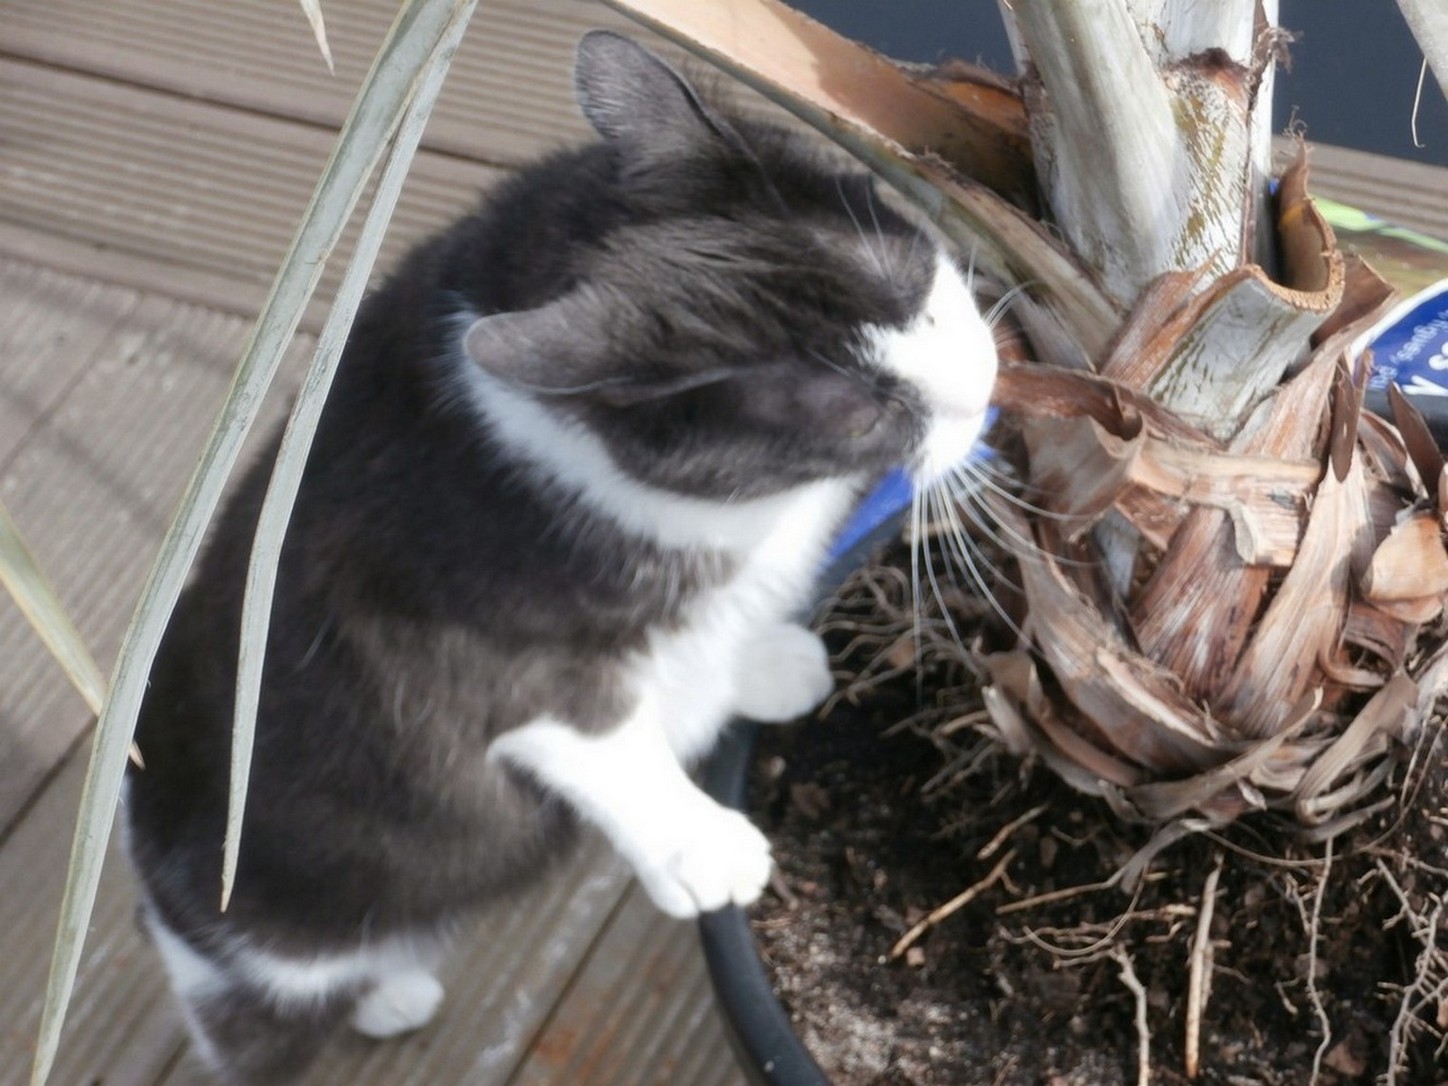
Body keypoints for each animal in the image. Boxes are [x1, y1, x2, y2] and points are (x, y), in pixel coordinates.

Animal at [122, 29, 998, 1084]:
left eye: (915, 283)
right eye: (862, 416)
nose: (983, 387)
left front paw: (756, 665)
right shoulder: (472, 641)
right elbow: (596, 734)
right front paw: (700, 847)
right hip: (252, 957)